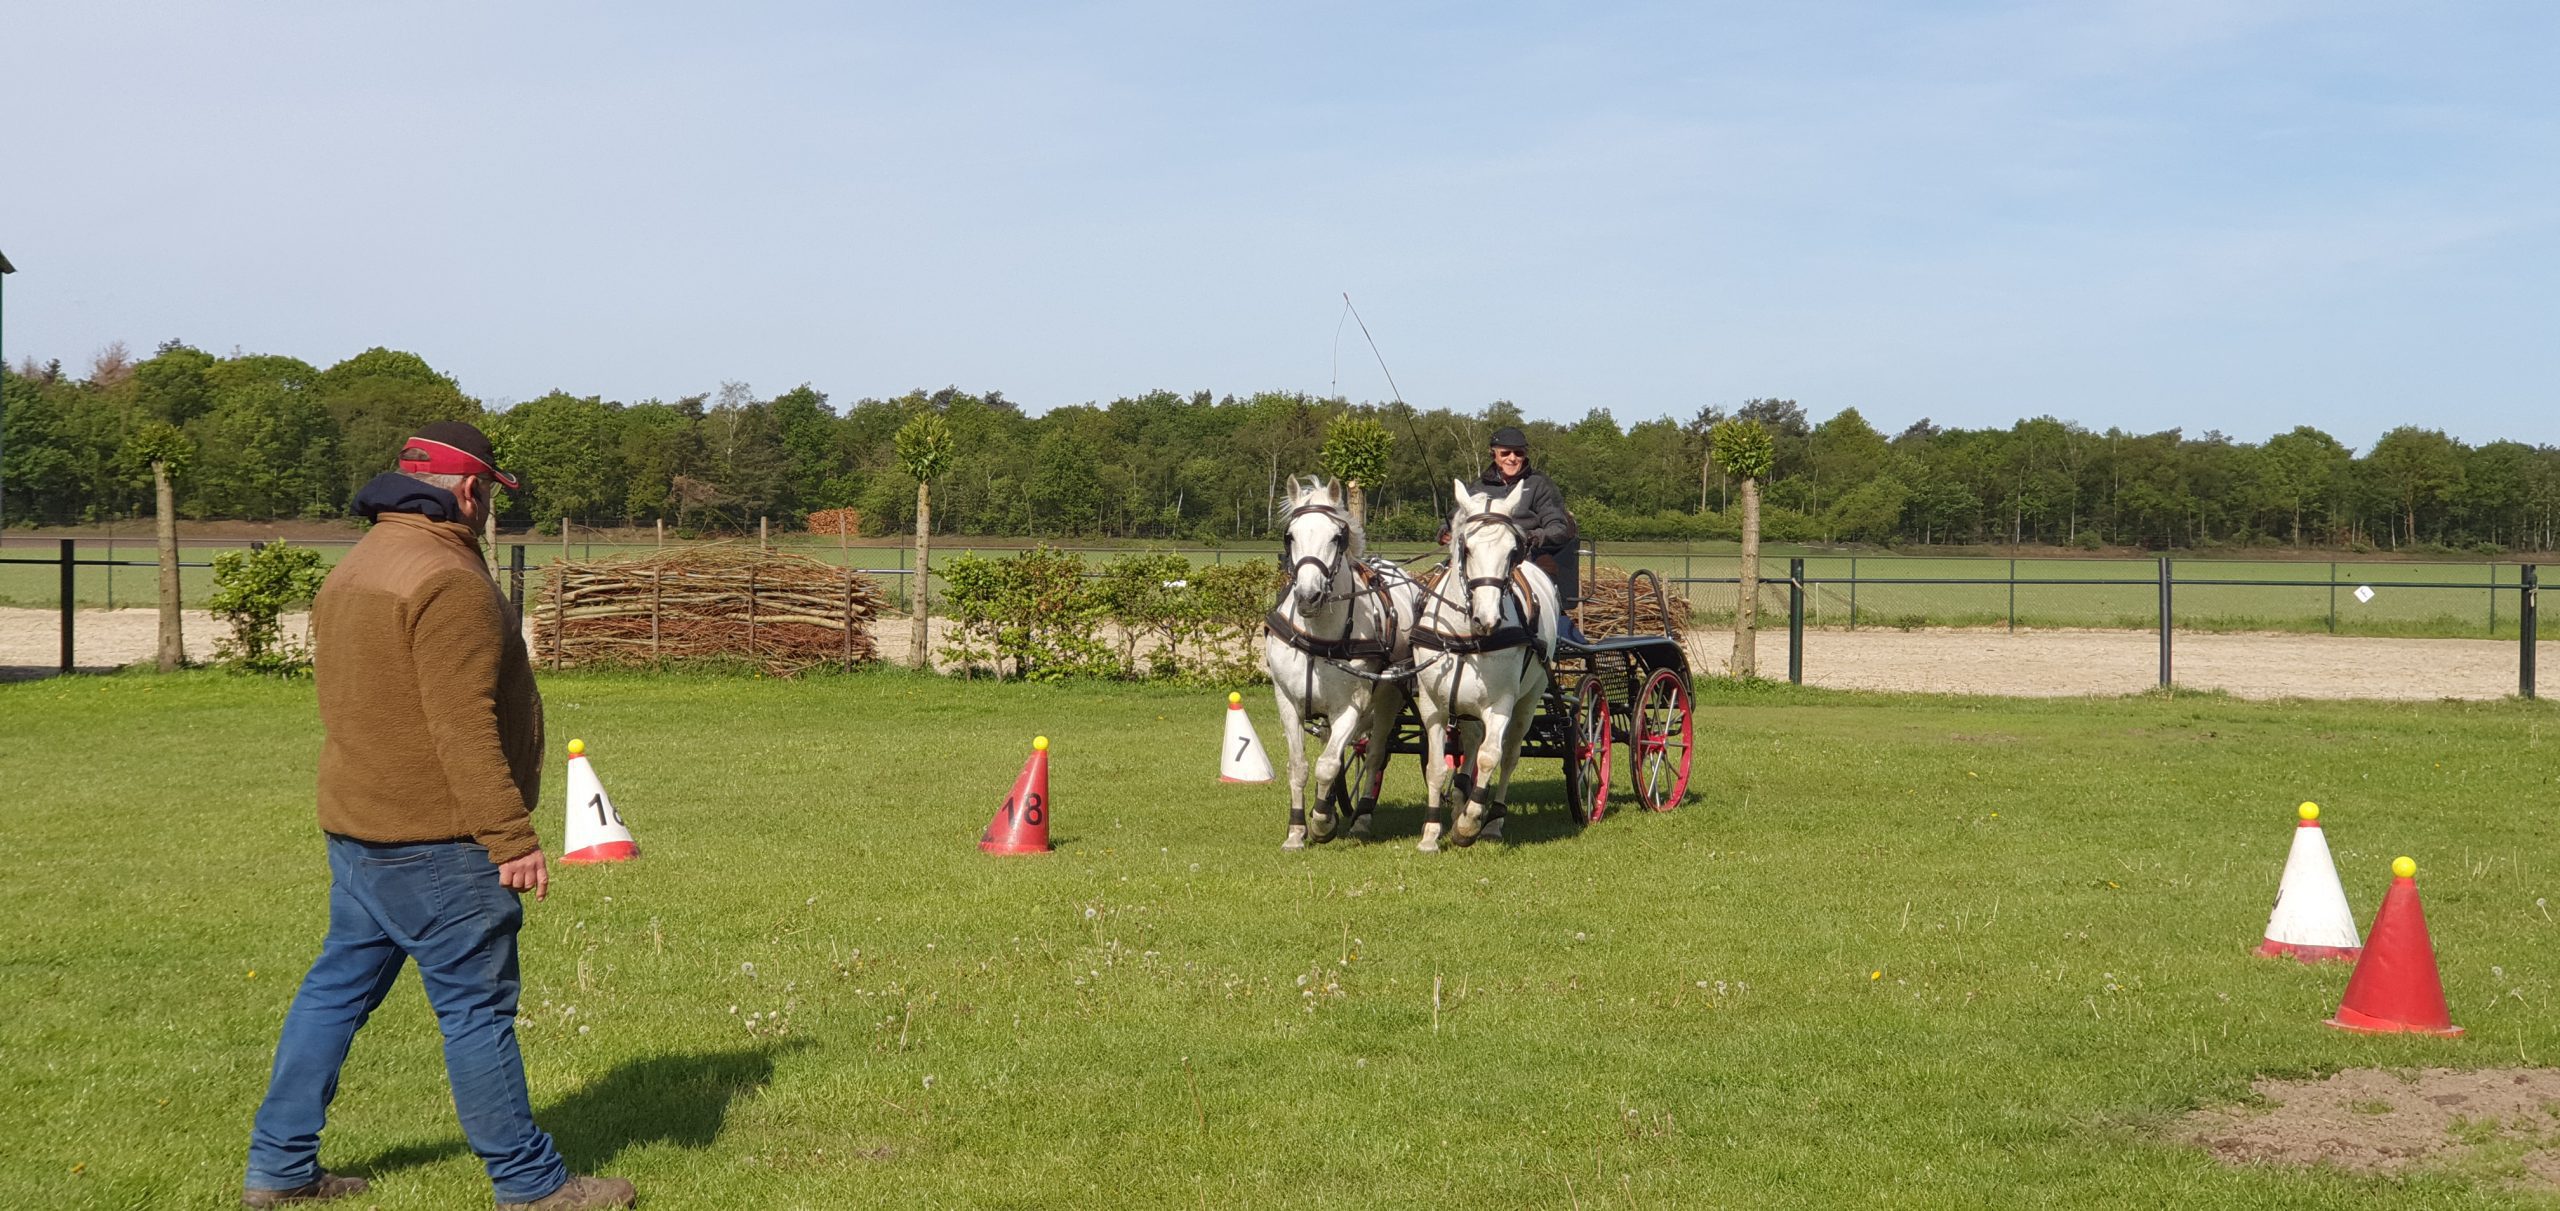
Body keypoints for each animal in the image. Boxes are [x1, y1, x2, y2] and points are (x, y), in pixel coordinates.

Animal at [1269, 476, 1433, 844]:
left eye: (1336, 536)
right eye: (1290, 535)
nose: (1308, 596)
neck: (1318, 634)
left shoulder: (1351, 705)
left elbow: (1328, 765)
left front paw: (1321, 823)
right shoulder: (1287, 701)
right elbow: (1300, 766)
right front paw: (1297, 829)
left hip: (1389, 696)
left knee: (1373, 754)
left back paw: (1361, 816)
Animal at [1402, 473, 1556, 850]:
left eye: (1512, 551)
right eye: (1466, 548)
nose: (1487, 619)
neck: (1464, 637)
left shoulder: (1501, 704)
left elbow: (1490, 758)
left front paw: (1469, 825)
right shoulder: (1433, 705)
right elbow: (1437, 767)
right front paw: (1431, 834)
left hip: (1528, 701)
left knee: (1509, 754)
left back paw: (1492, 820)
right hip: (1466, 705)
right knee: (1470, 745)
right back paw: (1459, 800)